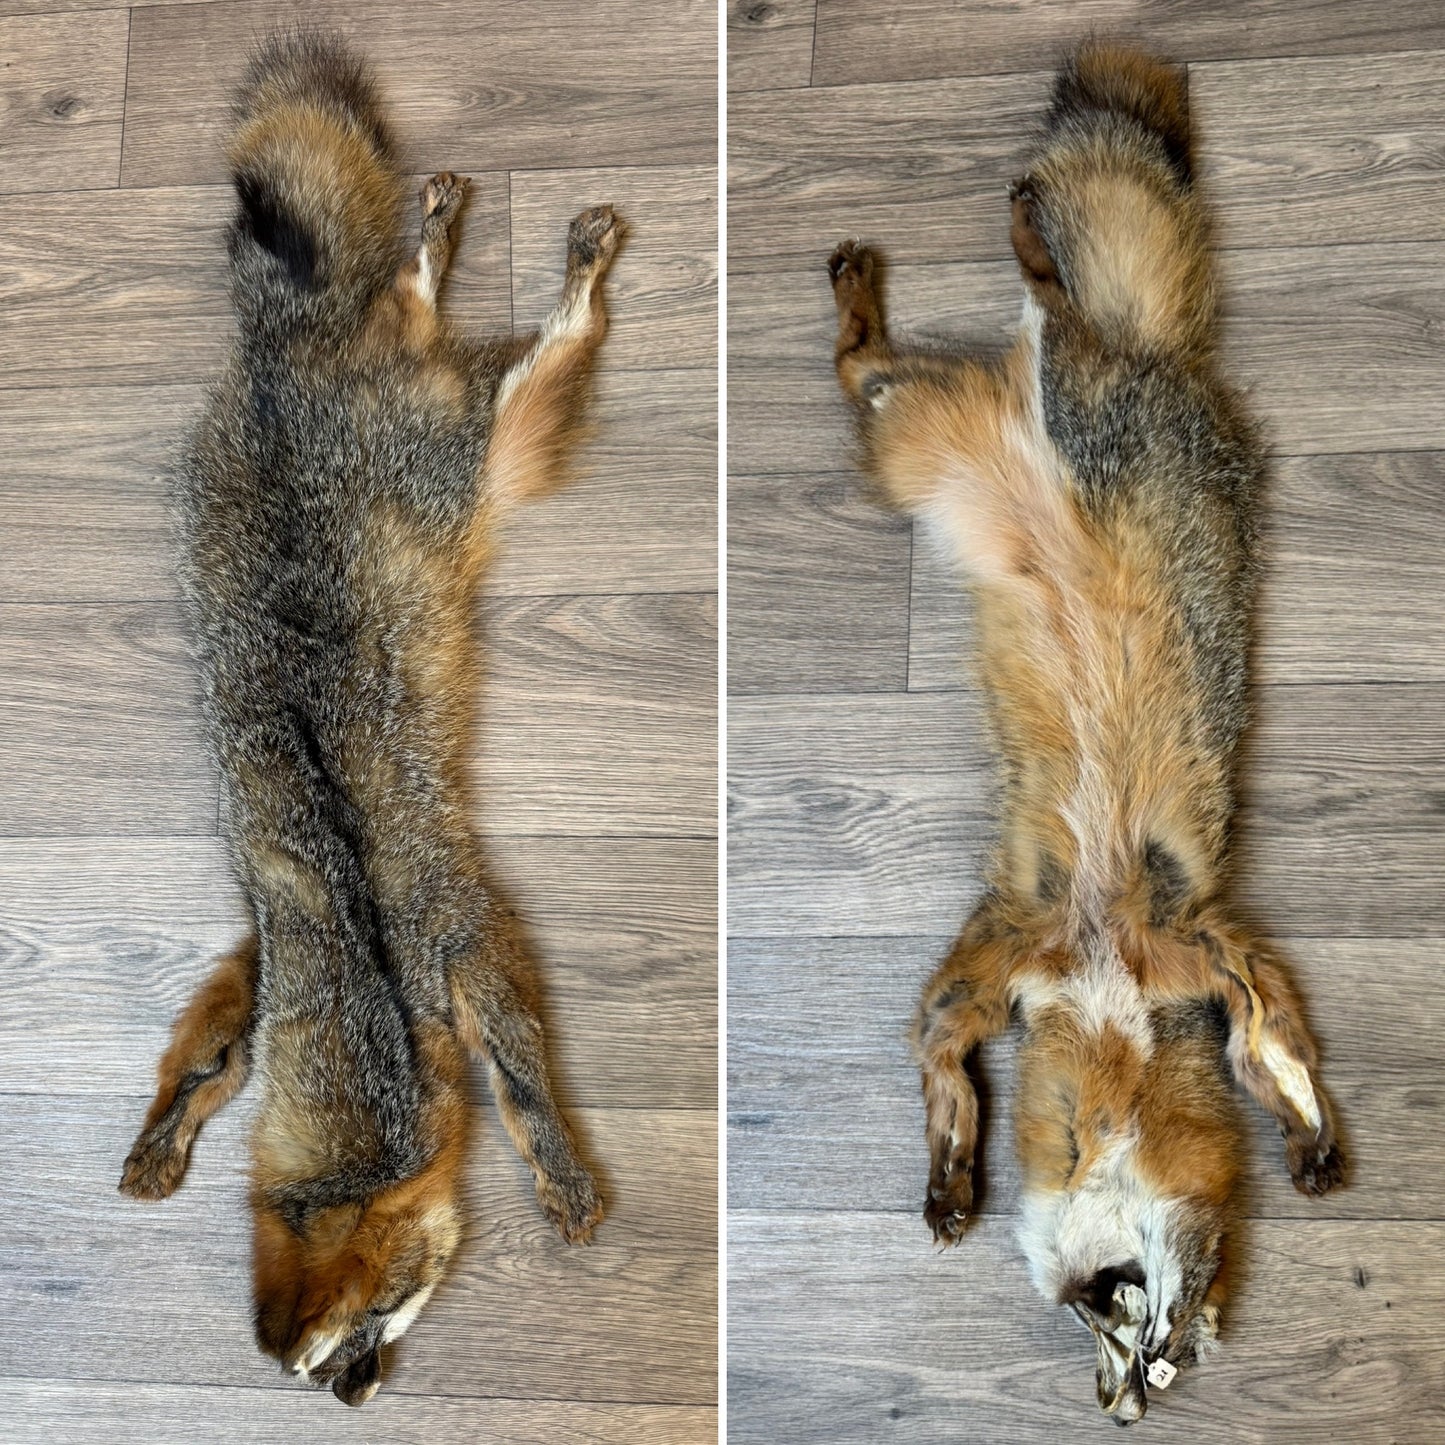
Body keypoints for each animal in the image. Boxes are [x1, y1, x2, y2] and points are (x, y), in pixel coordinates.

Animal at [117, 32, 620, 1404]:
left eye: (367, 1326)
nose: (358, 1395)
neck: (374, 1024)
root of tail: (276, 356)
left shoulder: (464, 930)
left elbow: (525, 1081)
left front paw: (561, 1173)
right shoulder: (262, 943)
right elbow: (205, 1051)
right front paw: (163, 1135)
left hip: (478, 458)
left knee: (535, 353)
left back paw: (569, 277)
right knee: (399, 295)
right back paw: (433, 237)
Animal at [827, 43, 1345, 1423]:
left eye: (1162, 1352)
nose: (1121, 1407)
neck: (1111, 994)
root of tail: (1141, 354)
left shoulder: (1178, 952)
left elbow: (1273, 1044)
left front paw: (1307, 1130)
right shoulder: (1020, 956)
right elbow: (948, 1070)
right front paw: (948, 1176)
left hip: (912, 432)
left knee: (1007, 308)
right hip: (907, 435)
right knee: (975, 315)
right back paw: (913, 263)